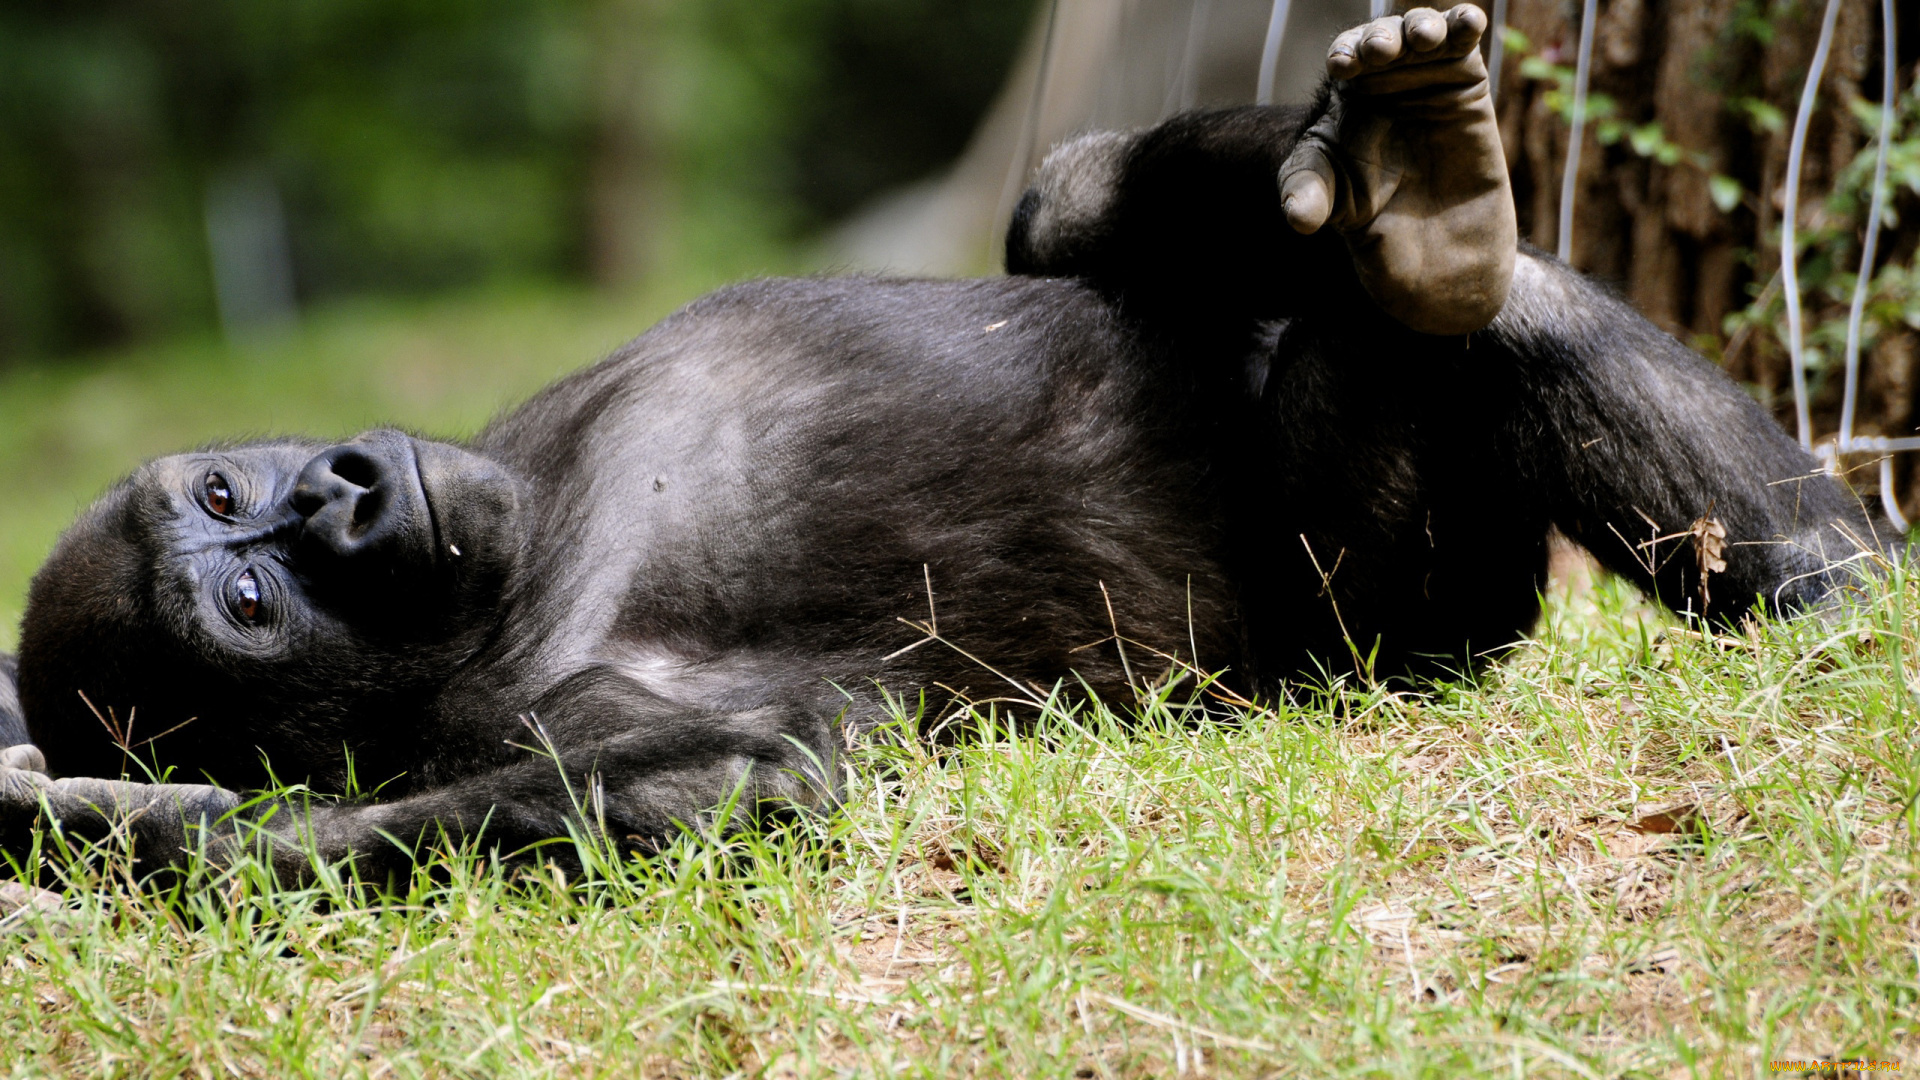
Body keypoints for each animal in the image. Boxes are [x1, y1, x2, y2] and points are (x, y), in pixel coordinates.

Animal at [0, 10, 1889, 883]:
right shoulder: (531, 710)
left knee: (1401, 292)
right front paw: (169, 836)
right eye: (249, 608)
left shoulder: (486, 445)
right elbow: (741, 773)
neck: (519, 546)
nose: (336, 501)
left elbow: (1067, 230)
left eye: (237, 492)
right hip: (1402, 636)